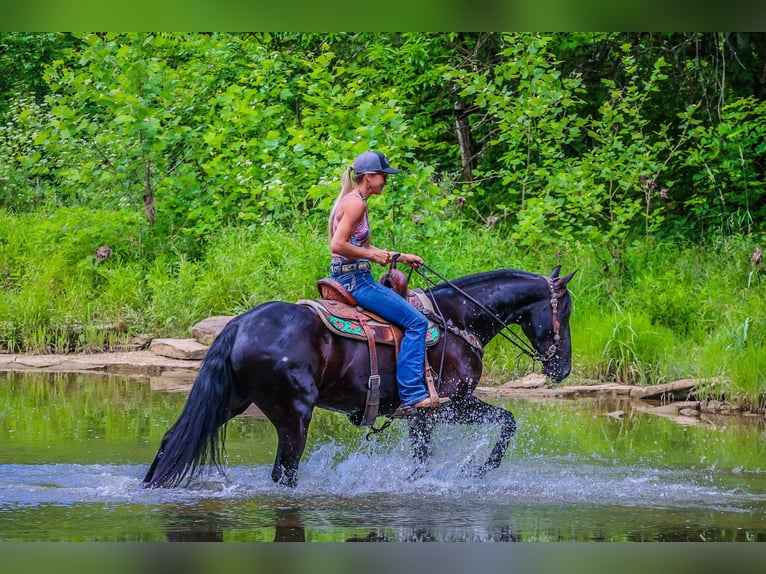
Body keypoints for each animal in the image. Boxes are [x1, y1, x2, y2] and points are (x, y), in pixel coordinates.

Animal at [144, 264, 576, 486]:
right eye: (567, 311)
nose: (563, 368)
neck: (457, 319)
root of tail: (241, 324)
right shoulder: (451, 404)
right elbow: (508, 421)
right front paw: (477, 469)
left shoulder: (422, 416)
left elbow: (421, 460)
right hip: (293, 415)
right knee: (285, 471)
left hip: (232, 401)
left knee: (173, 439)